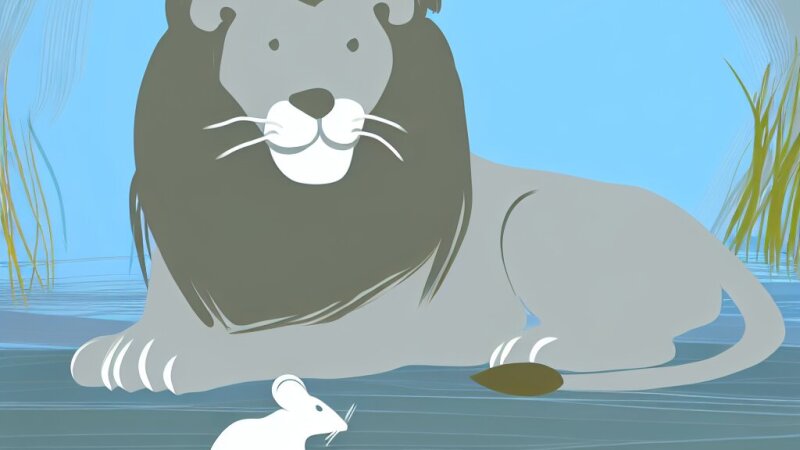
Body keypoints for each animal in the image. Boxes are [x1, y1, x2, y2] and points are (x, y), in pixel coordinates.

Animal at [70, 0, 785, 395]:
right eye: (269, 45)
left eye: (355, 45)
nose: (316, 99)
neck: (283, 194)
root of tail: (706, 239)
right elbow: (118, 344)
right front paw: (122, 349)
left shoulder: (370, 329)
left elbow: (269, 345)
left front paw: (185, 360)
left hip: (533, 217)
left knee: (652, 344)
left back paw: (536, 347)